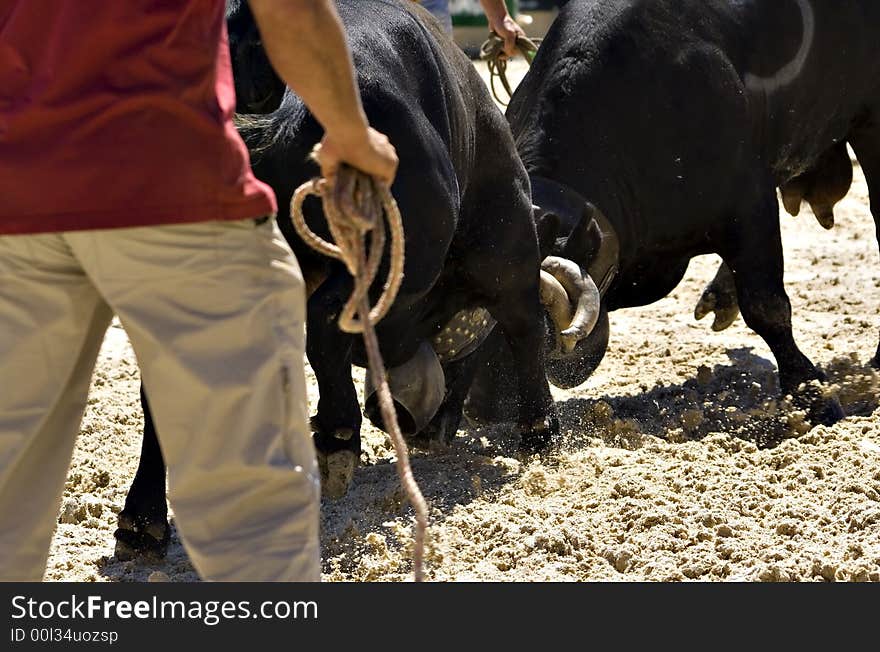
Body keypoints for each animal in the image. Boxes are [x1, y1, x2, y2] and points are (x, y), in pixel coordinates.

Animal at [113, 0, 600, 560]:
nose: (427, 427)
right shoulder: (506, 245)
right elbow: (523, 329)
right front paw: (541, 430)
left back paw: (143, 519)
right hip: (409, 250)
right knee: (328, 320)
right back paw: (337, 436)